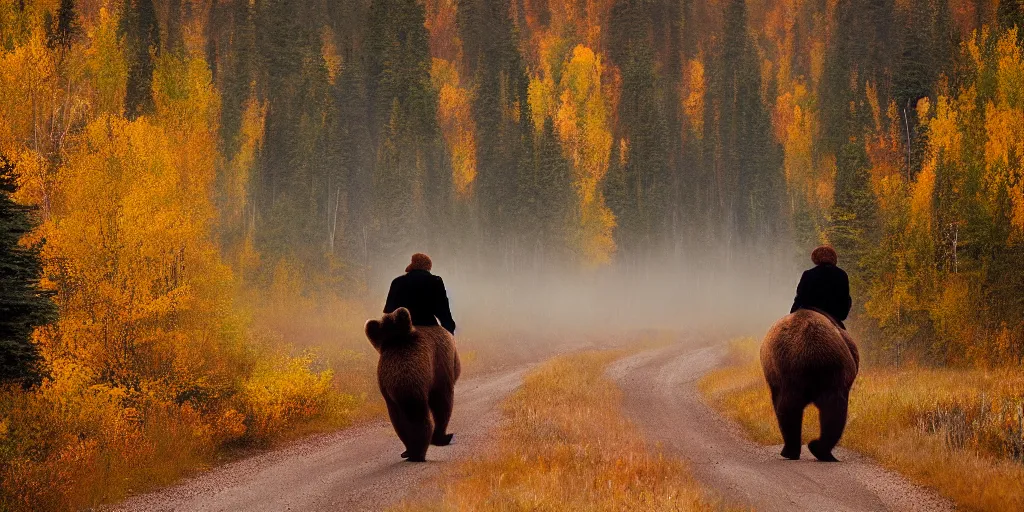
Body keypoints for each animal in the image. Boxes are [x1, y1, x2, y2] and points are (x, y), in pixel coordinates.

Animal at [364, 305, 460, 462]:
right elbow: (443, 404)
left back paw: (409, 450)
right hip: (416, 387)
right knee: (420, 418)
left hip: (393, 397)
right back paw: (420, 451)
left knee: (399, 422)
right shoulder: (440, 369)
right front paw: (442, 436)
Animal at [761, 309, 856, 462]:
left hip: (792, 371)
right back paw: (818, 449)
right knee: (834, 410)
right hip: (827, 372)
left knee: (788, 409)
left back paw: (796, 450)